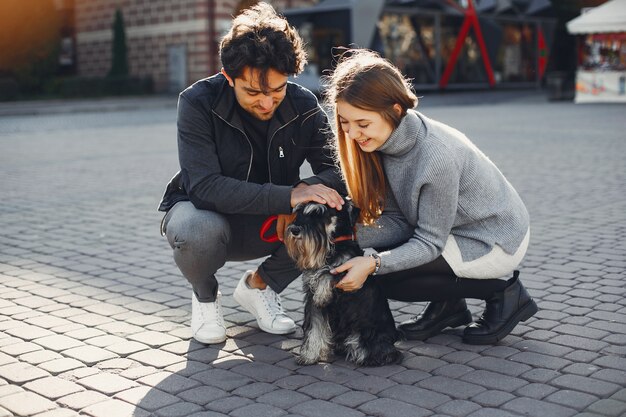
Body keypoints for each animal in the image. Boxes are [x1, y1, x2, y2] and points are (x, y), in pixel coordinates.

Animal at [282, 200, 400, 366]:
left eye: (319, 214)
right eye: (299, 211)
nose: (294, 230)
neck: (333, 246)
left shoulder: (349, 273)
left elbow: (330, 273)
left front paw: (322, 295)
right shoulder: (312, 301)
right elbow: (314, 329)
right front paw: (309, 356)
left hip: (365, 334)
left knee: (383, 352)